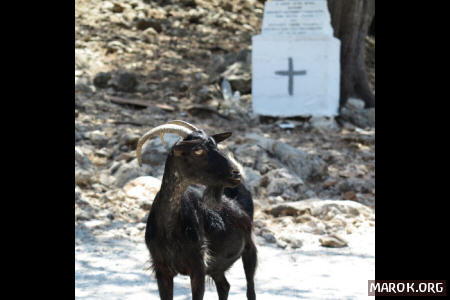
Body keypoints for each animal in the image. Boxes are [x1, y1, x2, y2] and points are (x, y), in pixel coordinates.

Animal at [137, 120, 256, 300]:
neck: (169, 229)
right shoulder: (162, 270)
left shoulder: (198, 268)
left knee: (250, 290)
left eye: (216, 145)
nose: (235, 174)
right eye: (197, 150)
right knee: (224, 286)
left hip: (249, 249)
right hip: (216, 266)